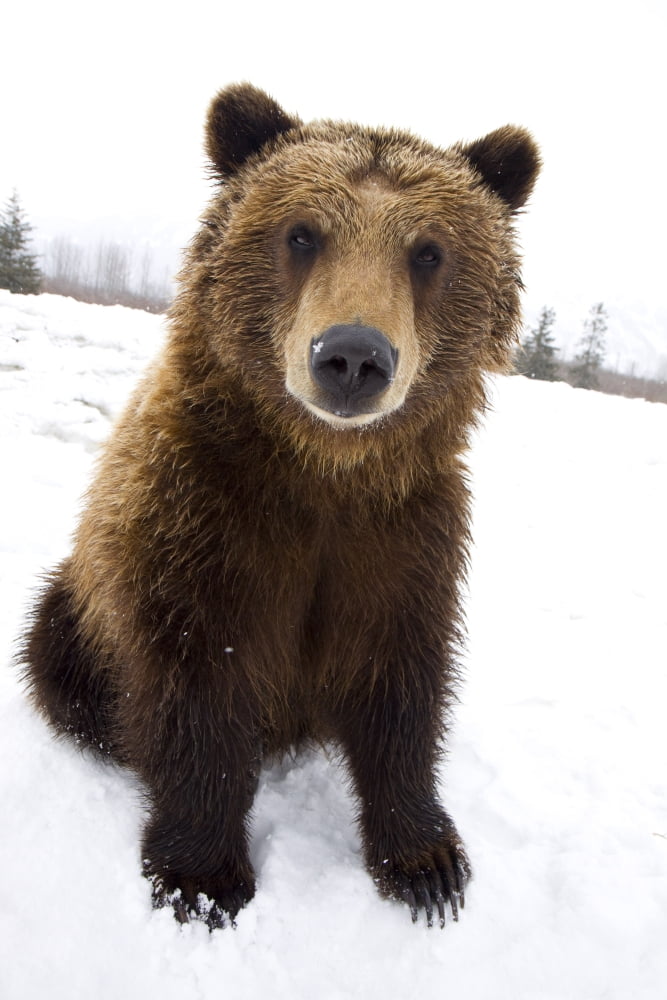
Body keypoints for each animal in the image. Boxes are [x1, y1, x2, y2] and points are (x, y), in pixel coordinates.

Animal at [20, 83, 540, 930]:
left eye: (428, 251)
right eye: (302, 233)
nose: (352, 356)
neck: (322, 472)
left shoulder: (403, 536)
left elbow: (401, 685)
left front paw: (426, 863)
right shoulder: (202, 519)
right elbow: (195, 687)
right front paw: (202, 874)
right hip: (76, 607)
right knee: (58, 661)